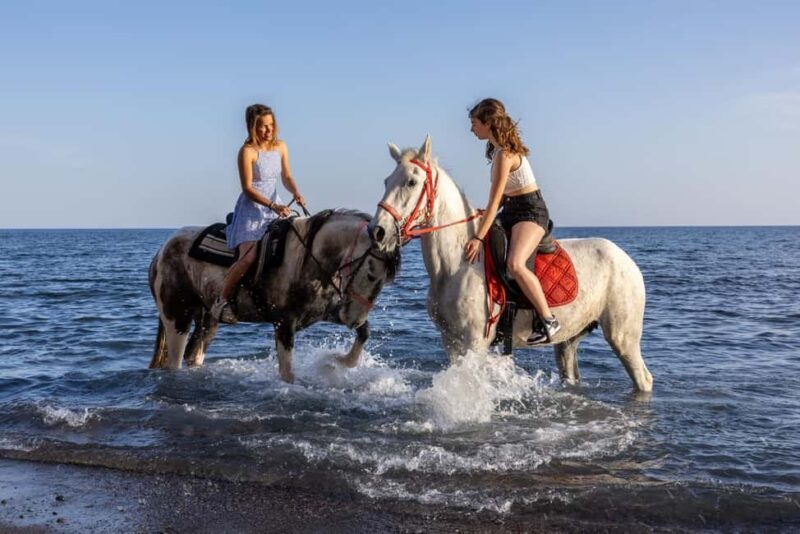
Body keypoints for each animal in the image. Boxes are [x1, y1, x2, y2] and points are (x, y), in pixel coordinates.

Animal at [148, 209, 399, 383]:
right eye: (370, 274)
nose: (354, 318)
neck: (308, 259)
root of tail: (160, 252)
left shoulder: (325, 312)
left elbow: (364, 333)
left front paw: (337, 361)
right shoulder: (284, 323)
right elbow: (287, 373)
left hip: (208, 320)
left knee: (194, 354)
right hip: (177, 318)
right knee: (174, 361)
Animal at [369, 136, 653, 392]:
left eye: (412, 181)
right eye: (386, 181)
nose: (377, 231)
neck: (456, 265)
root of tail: (627, 260)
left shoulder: (475, 342)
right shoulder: (450, 341)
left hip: (623, 337)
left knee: (644, 379)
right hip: (570, 340)